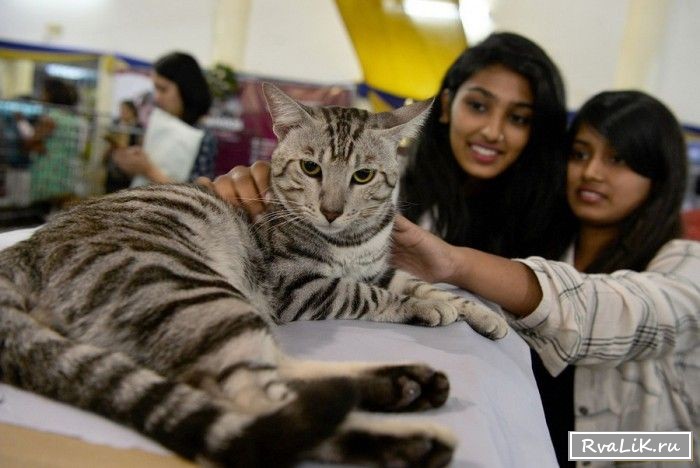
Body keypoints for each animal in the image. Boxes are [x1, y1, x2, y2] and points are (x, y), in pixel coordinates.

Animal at [0, 83, 507, 467]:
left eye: (363, 176)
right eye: (310, 167)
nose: (331, 210)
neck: (352, 243)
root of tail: (18, 257)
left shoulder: (378, 266)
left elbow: (423, 282)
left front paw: (482, 314)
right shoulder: (301, 289)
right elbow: (372, 295)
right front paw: (426, 308)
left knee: (288, 378)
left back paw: (405, 385)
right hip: (196, 294)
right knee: (267, 406)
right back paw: (411, 434)